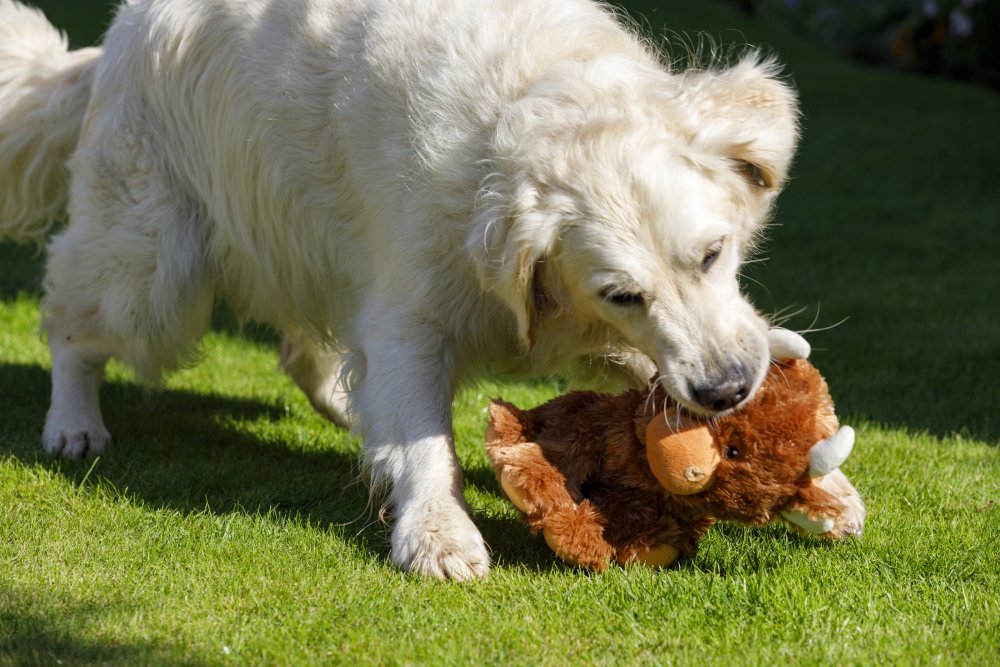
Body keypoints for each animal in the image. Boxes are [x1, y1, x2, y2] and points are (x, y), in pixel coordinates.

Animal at [0, 0, 860, 580]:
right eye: (622, 292)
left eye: (714, 253)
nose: (727, 389)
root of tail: (111, 41)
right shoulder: (413, 306)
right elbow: (425, 440)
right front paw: (438, 534)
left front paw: (821, 485)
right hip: (154, 261)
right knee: (75, 319)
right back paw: (73, 422)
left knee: (305, 347)